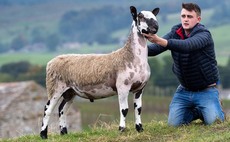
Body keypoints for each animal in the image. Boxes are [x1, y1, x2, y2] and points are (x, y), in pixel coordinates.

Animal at [40, 5, 158, 139]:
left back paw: (64, 133)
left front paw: (140, 129)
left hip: (70, 91)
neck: (131, 57)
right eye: (141, 16)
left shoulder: (140, 88)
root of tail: (51, 62)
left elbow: (138, 109)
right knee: (47, 109)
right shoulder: (122, 86)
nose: (156, 27)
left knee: (62, 109)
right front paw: (121, 129)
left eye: (154, 16)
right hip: (55, 87)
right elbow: (124, 109)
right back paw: (43, 134)